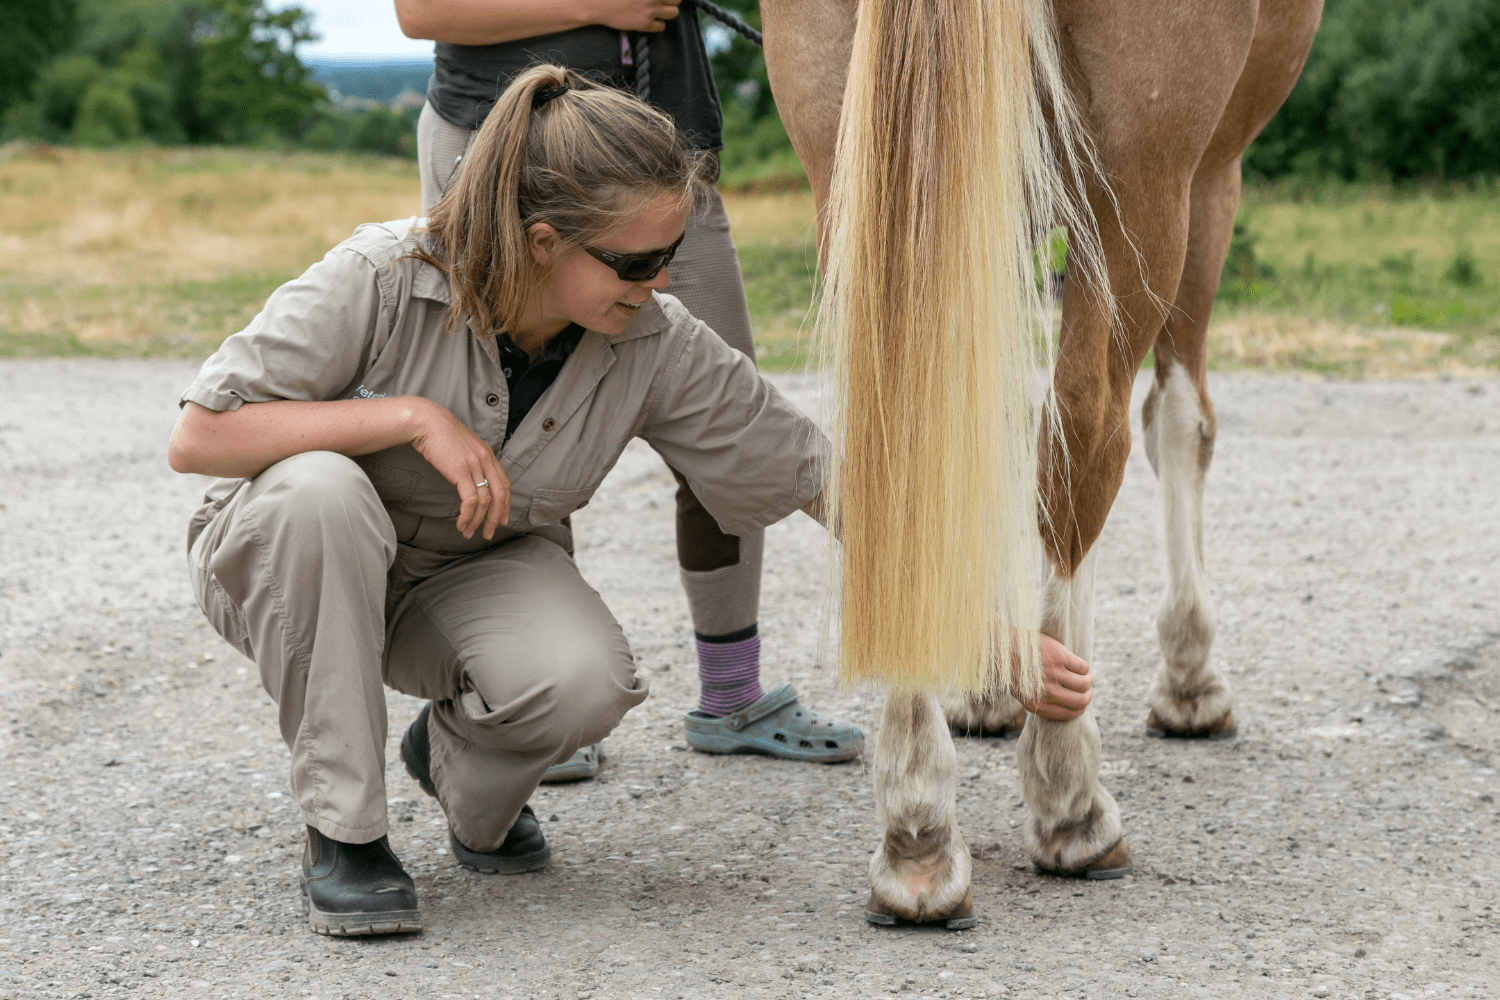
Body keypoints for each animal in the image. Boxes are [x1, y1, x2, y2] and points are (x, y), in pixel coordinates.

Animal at [757, 0, 1324, 925]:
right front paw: (1190, 675)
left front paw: (986, 676)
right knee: (1087, 428)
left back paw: (918, 821)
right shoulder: (1214, 176)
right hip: (1145, 192)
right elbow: (1178, 423)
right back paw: (1068, 797)